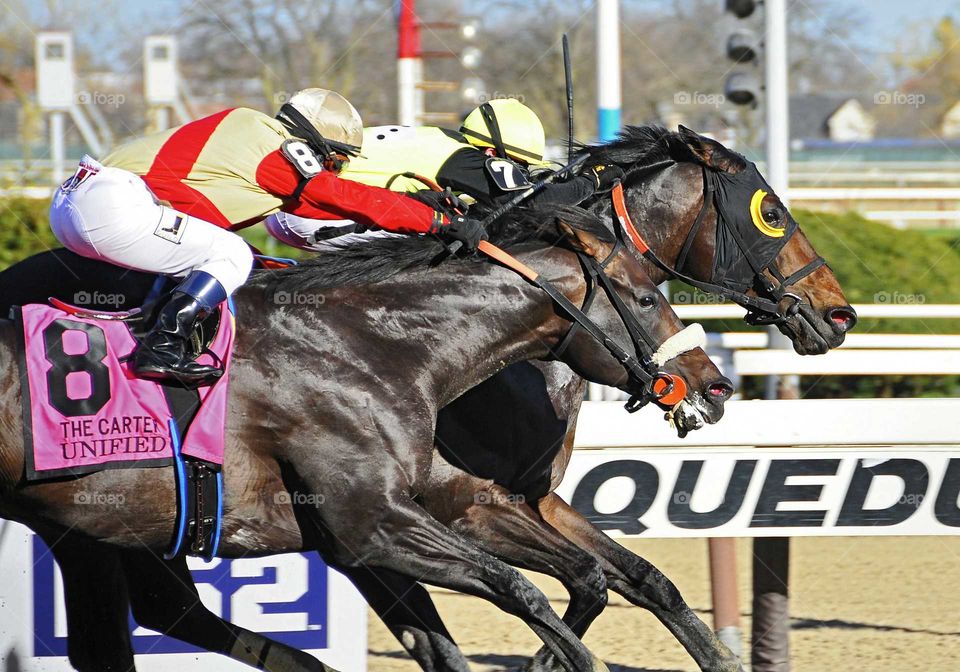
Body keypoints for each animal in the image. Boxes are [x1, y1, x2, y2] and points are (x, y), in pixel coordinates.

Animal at [0, 126, 855, 672]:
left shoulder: (508, 501)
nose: (838, 313)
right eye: (772, 210)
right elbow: (528, 602)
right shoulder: (379, 525)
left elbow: (628, 580)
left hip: (97, 527)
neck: (382, 342)